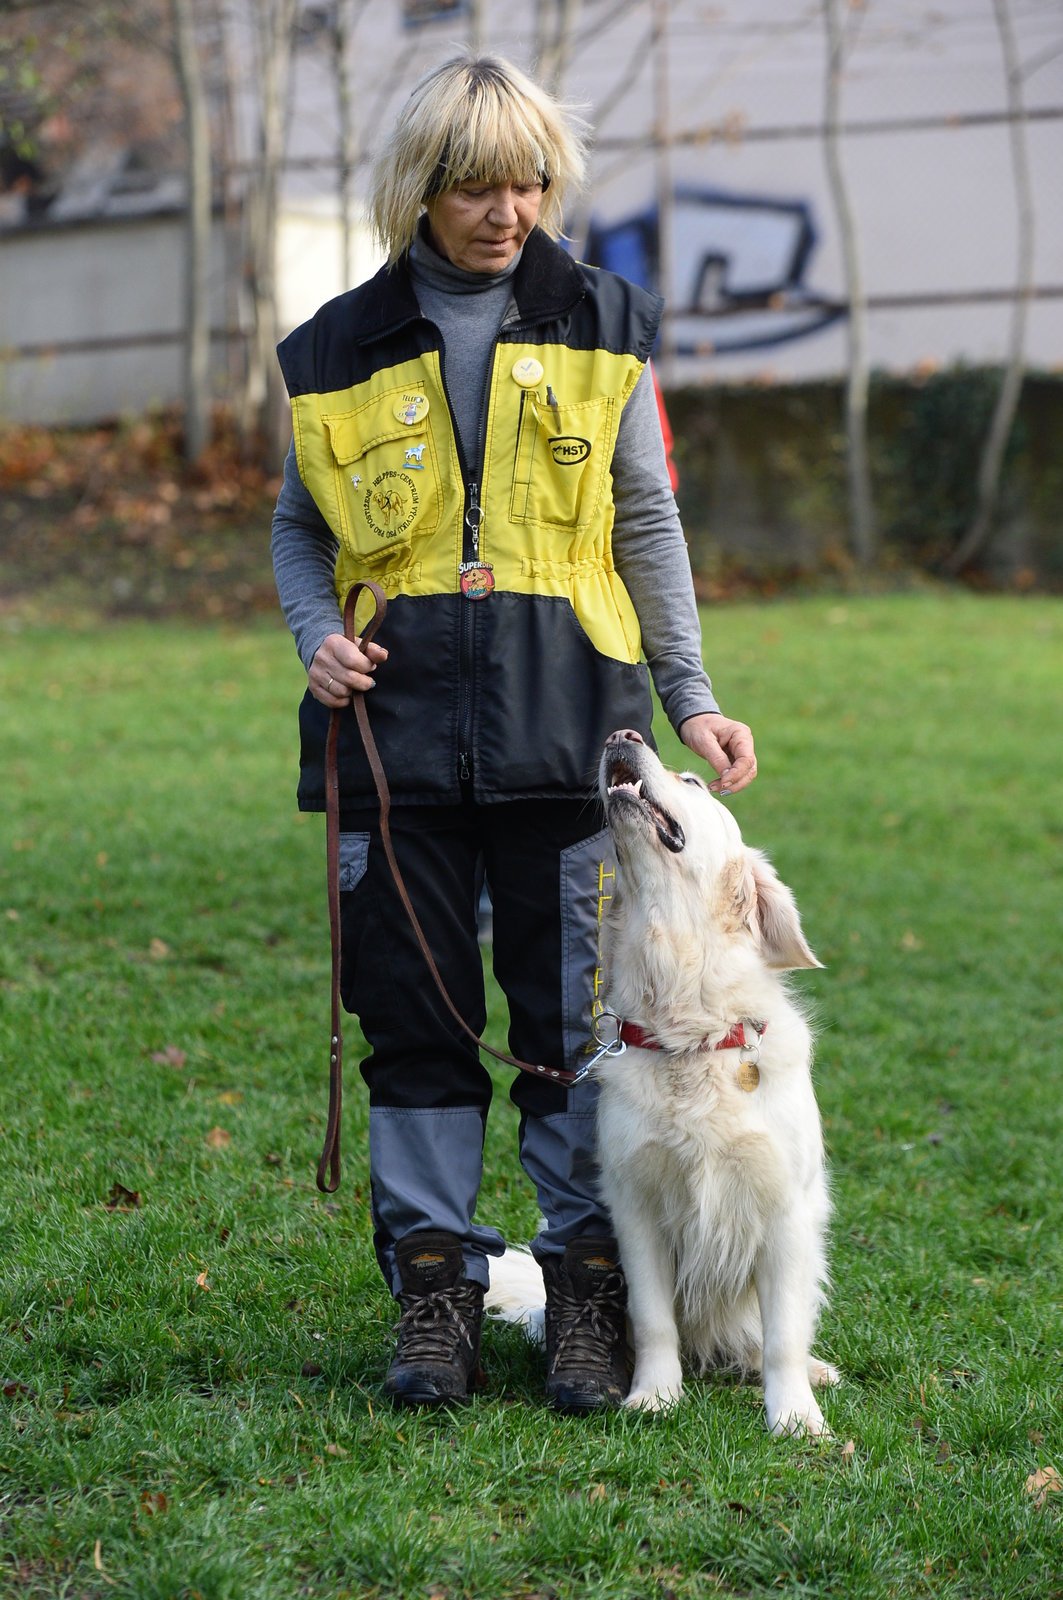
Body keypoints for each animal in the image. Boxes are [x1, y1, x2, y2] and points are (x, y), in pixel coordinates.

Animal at [489, 732, 838, 1433]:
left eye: (695, 781)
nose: (621, 736)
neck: (689, 1031)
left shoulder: (785, 1213)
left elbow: (783, 1336)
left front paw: (793, 1415)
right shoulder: (637, 1211)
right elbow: (653, 1322)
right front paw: (653, 1396)